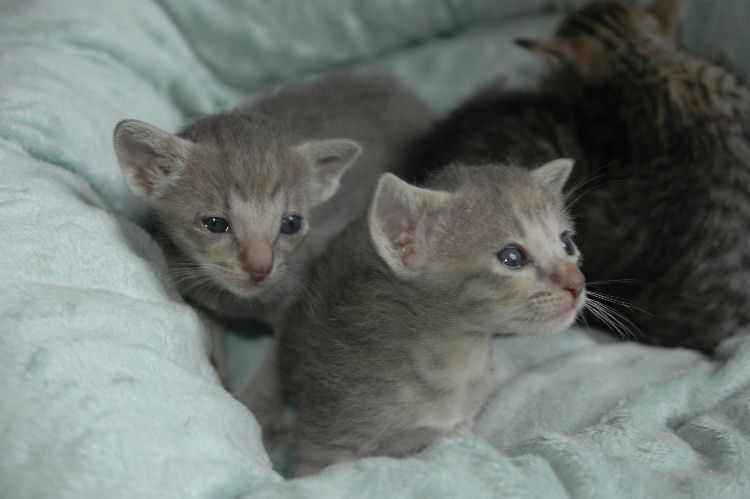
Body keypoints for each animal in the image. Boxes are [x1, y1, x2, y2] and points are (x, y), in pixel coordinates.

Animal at [113, 73, 434, 380]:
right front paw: (221, 376)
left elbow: (270, 376)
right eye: (215, 224)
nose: (260, 269)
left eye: (290, 224)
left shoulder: (293, 306)